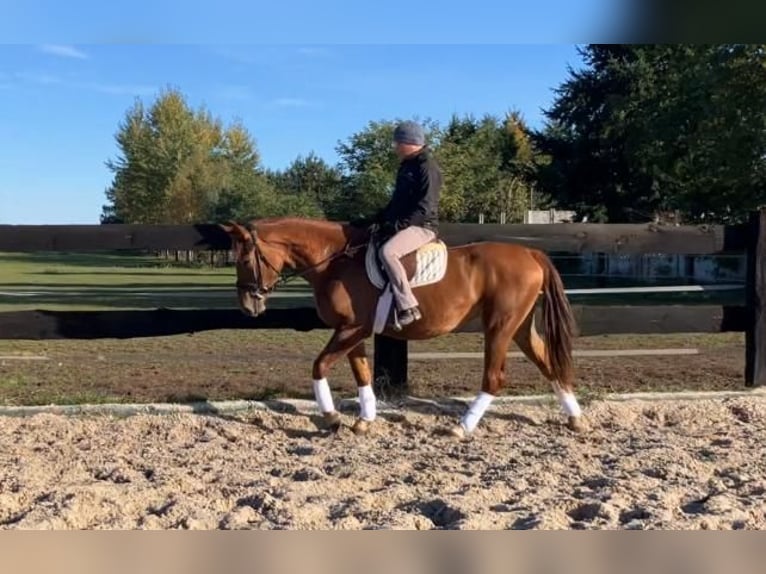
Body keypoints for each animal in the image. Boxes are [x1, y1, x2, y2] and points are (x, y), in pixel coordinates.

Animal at [221, 216, 587, 439]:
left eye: (244, 260)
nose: (248, 306)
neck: (335, 262)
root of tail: (530, 252)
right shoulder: (351, 331)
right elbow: (362, 373)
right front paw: (364, 421)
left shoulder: (352, 329)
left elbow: (319, 366)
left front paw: (332, 417)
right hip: (520, 327)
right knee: (549, 364)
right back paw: (575, 418)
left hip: (500, 326)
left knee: (494, 378)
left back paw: (462, 427)